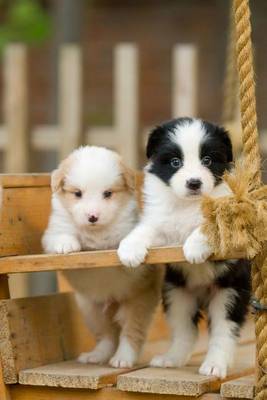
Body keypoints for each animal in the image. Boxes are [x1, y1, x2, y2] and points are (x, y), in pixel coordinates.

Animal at [43, 147, 162, 368]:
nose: (92, 217)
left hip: (136, 303)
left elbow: (129, 238)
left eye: (107, 194)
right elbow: (61, 234)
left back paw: (123, 358)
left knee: (130, 334)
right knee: (107, 336)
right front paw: (66, 245)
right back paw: (97, 355)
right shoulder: (53, 231)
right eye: (77, 194)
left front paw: (130, 252)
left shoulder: (130, 227)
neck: (96, 234)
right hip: (91, 309)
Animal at [118, 116, 252, 378]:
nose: (194, 183)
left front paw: (194, 248)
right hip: (177, 293)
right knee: (184, 330)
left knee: (223, 331)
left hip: (229, 292)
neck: (188, 205)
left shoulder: (229, 221)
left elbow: (210, 225)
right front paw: (129, 250)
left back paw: (214, 365)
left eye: (207, 160)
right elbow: (145, 229)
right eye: (175, 162)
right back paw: (171, 358)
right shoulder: (162, 227)